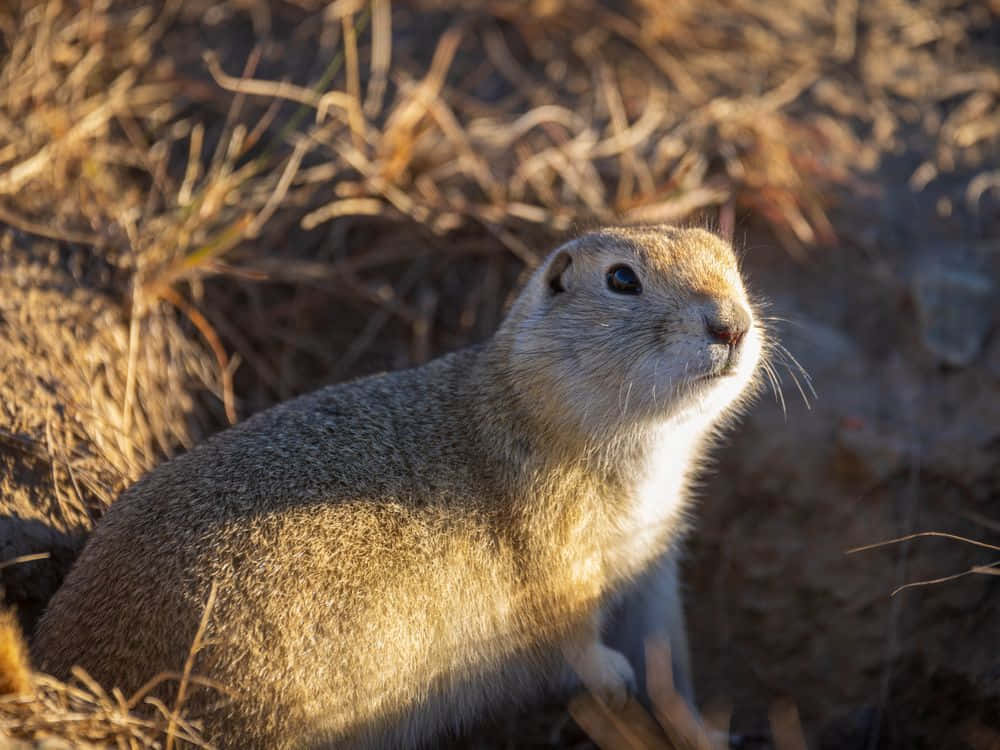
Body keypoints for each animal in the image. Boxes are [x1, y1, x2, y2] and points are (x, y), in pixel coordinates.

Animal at [31, 226, 764, 748]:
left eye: (731, 261)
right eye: (621, 278)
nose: (732, 324)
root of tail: (59, 657)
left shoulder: (651, 557)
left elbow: (663, 646)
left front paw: (703, 727)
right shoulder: (557, 547)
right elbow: (572, 631)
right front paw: (613, 682)